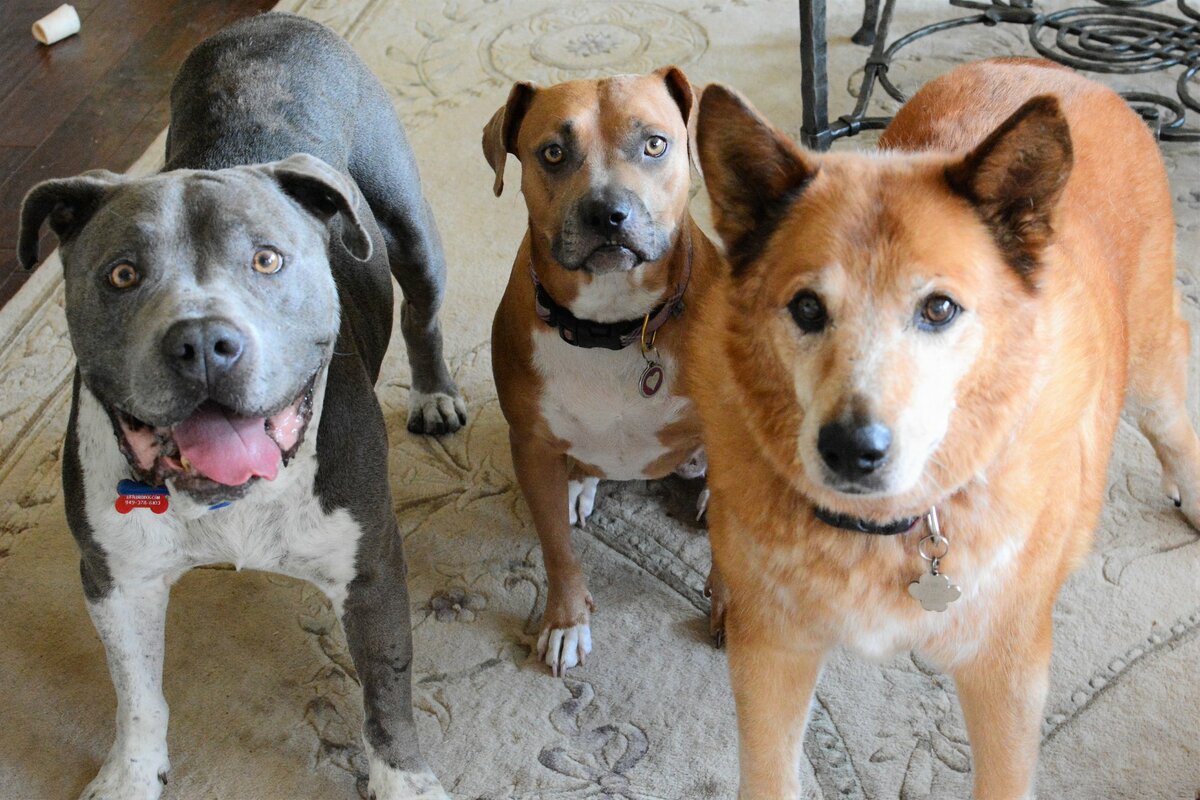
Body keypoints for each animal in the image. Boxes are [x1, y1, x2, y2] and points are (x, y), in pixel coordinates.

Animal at [17, 12, 458, 800]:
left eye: (267, 260)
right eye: (122, 274)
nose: (201, 341)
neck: (226, 499)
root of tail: (273, 19)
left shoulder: (371, 570)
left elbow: (386, 691)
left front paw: (403, 778)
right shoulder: (115, 580)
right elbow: (137, 692)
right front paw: (131, 773)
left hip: (407, 226)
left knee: (423, 312)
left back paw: (435, 395)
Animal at [686, 59, 1200, 796]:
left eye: (938, 308)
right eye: (807, 307)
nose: (851, 449)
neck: (881, 533)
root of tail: (1048, 69)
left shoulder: (1006, 678)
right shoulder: (772, 658)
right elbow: (768, 775)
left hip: (1152, 362)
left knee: (1174, 423)